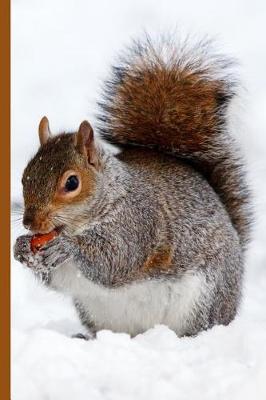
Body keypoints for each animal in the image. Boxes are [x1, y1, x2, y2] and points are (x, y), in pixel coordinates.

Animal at [14, 36, 251, 340]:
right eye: (24, 177)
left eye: (72, 182)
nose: (30, 223)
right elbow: (57, 278)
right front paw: (20, 247)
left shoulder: (138, 222)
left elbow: (116, 259)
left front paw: (68, 247)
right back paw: (87, 338)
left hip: (205, 298)